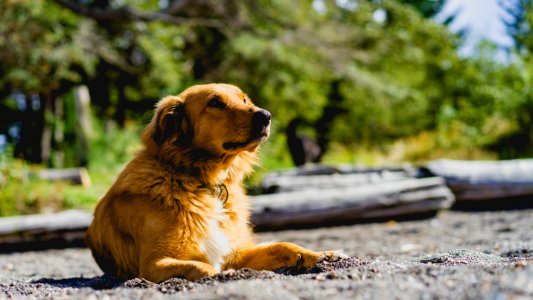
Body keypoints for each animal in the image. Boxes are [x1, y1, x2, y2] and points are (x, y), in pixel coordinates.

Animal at [85, 83, 348, 282]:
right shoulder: (153, 265)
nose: (266, 115)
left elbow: (283, 245)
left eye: (244, 99)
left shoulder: (236, 252)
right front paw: (222, 274)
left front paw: (321, 254)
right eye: (215, 103)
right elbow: (197, 266)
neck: (201, 181)